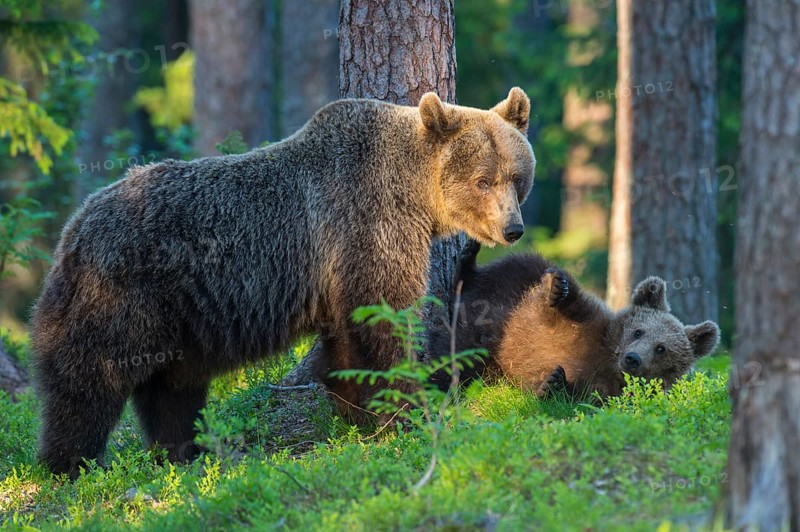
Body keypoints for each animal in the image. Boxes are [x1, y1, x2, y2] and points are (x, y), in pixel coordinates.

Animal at [31, 88, 536, 477]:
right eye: (483, 180)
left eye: (516, 177)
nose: (512, 228)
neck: (414, 194)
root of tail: (72, 230)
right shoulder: (365, 224)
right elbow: (384, 321)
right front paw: (407, 408)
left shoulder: (338, 273)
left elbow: (347, 343)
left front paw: (356, 412)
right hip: (121, 295)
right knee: (87, 381)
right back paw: (70, 463)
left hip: (175, 325)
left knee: (172, 390)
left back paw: (184, 451)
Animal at [428, 240, 720, 400]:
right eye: (638, 331)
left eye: (662, 349)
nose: (633, 358)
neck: (608, 361)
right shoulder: (589, 325)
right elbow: (571, 306)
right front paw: (560, 289)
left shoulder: (605, 390)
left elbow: (578, 399)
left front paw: (553, 383)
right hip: (510, 284)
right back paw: (469, 258)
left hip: (488, 363)